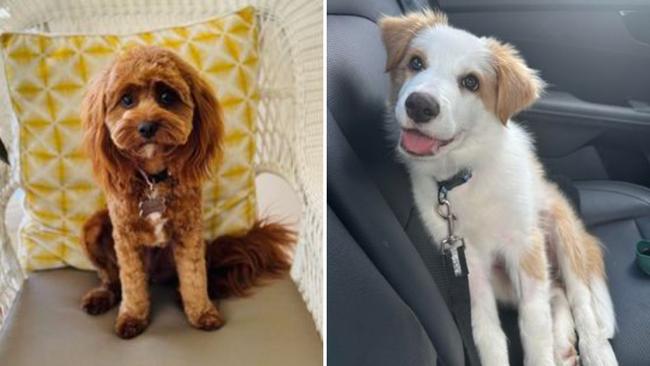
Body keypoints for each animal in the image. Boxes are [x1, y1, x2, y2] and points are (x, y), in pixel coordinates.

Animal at [79, 46, 294, 340]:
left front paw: (201, 312)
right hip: (96, 226)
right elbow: (131, 282)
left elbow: (194, 276)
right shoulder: (125, 237)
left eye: (166, 96)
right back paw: (101, 296)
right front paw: (132, 316)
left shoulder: (189, 231)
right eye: (126, 100)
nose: (147, 126)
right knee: (112, 278)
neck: (153, 180)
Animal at [378, 11, 616, 366]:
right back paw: (562, 343)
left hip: (562, 231)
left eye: (471, 82)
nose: (420, 105)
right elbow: (487, 333)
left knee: (580, 298)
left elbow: (534, 324)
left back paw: (596, 351)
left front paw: (545, 354)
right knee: (557, 291)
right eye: (416, 62)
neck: (465, 176)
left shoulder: (525, 245)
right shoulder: (468, 264)